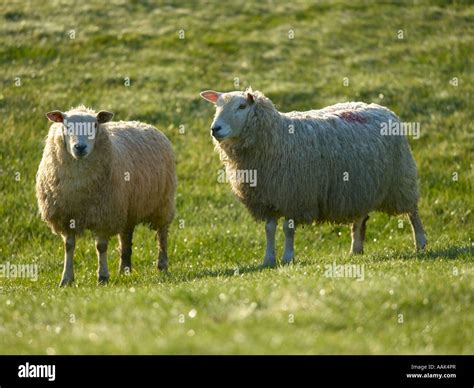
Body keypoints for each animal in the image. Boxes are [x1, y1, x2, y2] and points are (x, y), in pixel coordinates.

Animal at [35, 106, 176, 284]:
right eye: (66, 126)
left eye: (95, 125)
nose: (80, 147)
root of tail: (144, 124)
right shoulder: (67, 217)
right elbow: (69, 246)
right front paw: (66, 279)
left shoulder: (104, 215)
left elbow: (100, 247)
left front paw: (102, 276)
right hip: (128, 207)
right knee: (125, 237)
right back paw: (124, 269)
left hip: (163, 203)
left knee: (162, 234)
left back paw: (162, 265)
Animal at [198, 88, 428, 266]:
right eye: (217, 106)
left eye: (241, 107)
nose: (215, 129)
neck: (276, 138)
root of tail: (381, 108)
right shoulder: (268, 197)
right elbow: (269, 229)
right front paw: (268, 260)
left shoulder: (295, 195)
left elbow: (288, 229)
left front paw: (288, 258)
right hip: (359, 185)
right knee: (360, 217)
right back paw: (356, 249)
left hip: (401, 178)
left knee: (412, 212)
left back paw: (421, 243)